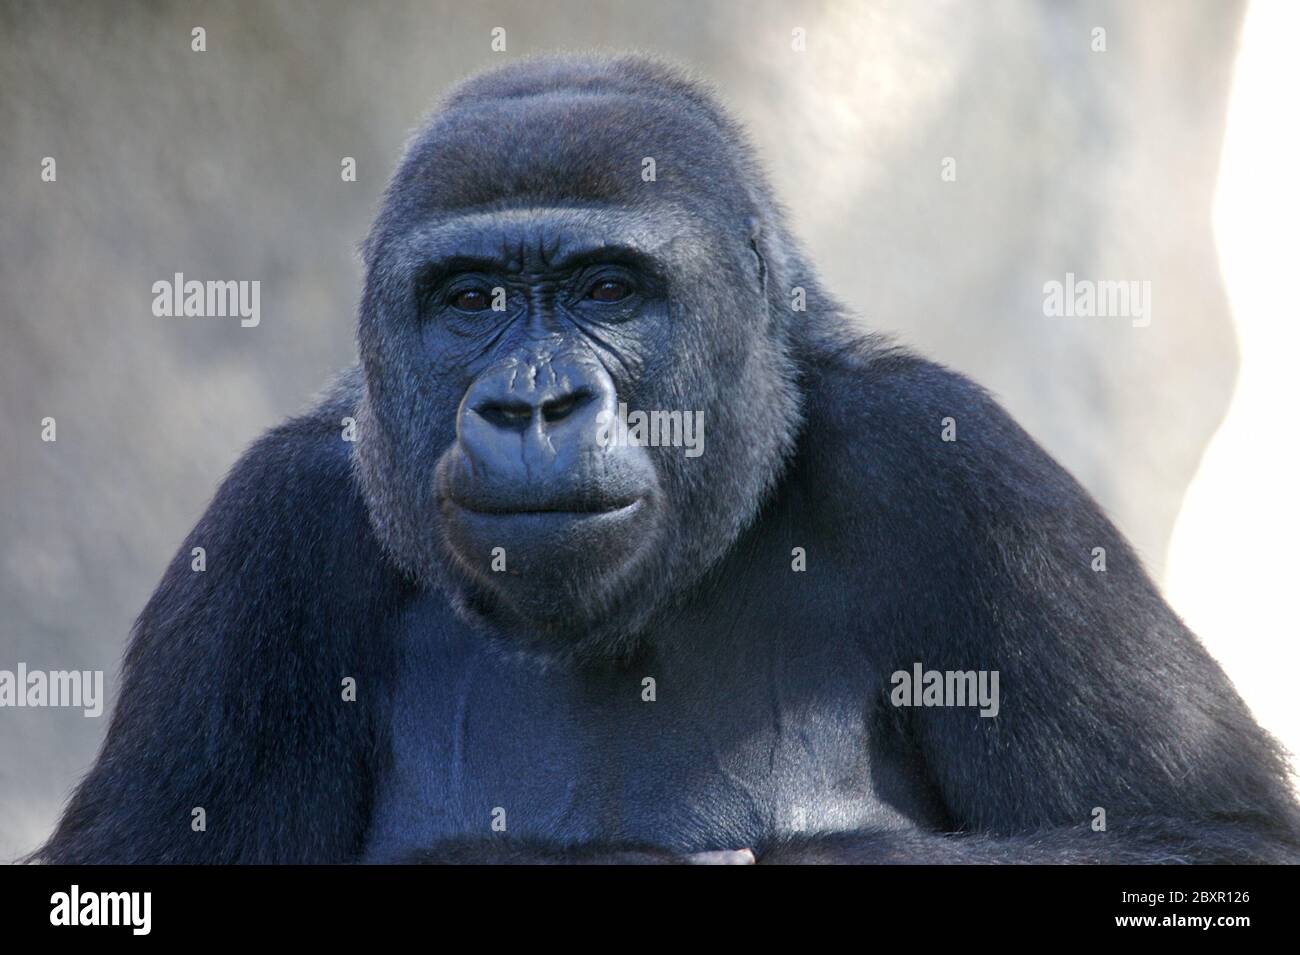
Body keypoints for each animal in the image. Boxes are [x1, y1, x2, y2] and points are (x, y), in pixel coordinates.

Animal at [40, 54, 1300, 867]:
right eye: (470, 299)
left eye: (607, 288)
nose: (531, 404)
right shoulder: (266, 529)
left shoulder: (961, 474)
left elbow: (1209, 831)